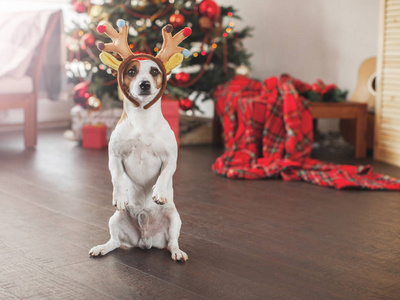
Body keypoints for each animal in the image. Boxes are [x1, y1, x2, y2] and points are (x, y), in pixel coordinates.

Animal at [89, 21, 192, 262]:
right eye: (131, 71)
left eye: (154, 71)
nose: (144, 84)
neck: (143, 119)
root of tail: (145, 240)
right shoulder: (115, 156)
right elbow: (117, 177)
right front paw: (120, 196)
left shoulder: (170, 157)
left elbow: (164, 175)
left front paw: (159, 193)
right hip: (115, 220)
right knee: (115, 242)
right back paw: (102, 248)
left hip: (175, 219)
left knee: (172, 243)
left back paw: (177, 253)